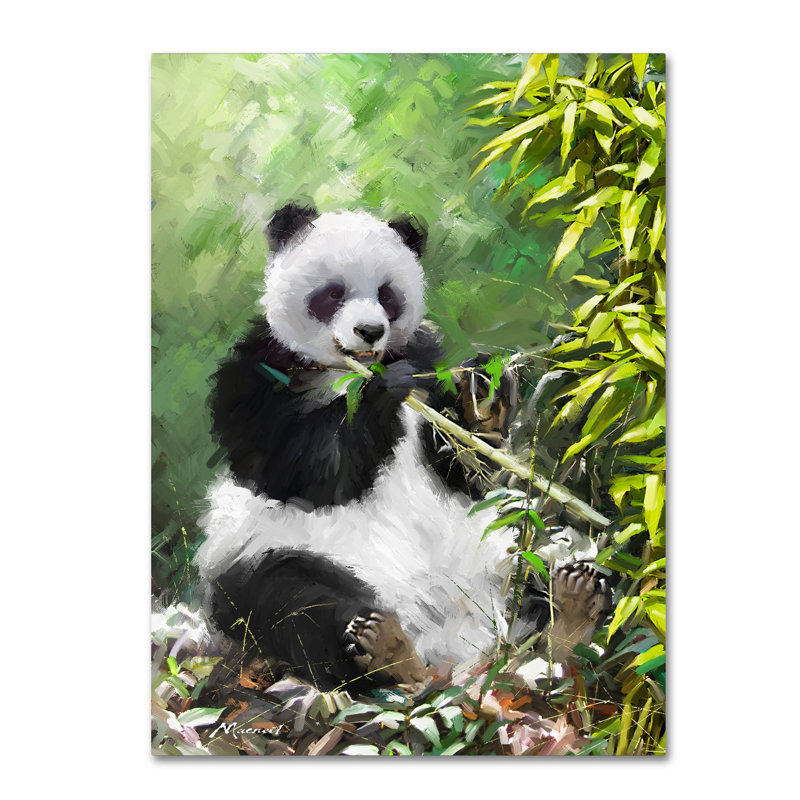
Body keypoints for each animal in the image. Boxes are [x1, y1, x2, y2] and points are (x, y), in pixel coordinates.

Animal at [194, 204, 610, 692]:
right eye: (333, 293)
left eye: (387, 294)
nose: (370, 331)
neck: (347, 370)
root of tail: (447, 646)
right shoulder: (259, 377)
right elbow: (306, 472)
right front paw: (382, 393)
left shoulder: (427, 358)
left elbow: (464, 466)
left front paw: (483, 397)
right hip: (272, 553)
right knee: (296, 603)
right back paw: (384, 648)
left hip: (498, 545)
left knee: (536, 561)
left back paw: (572, 607)